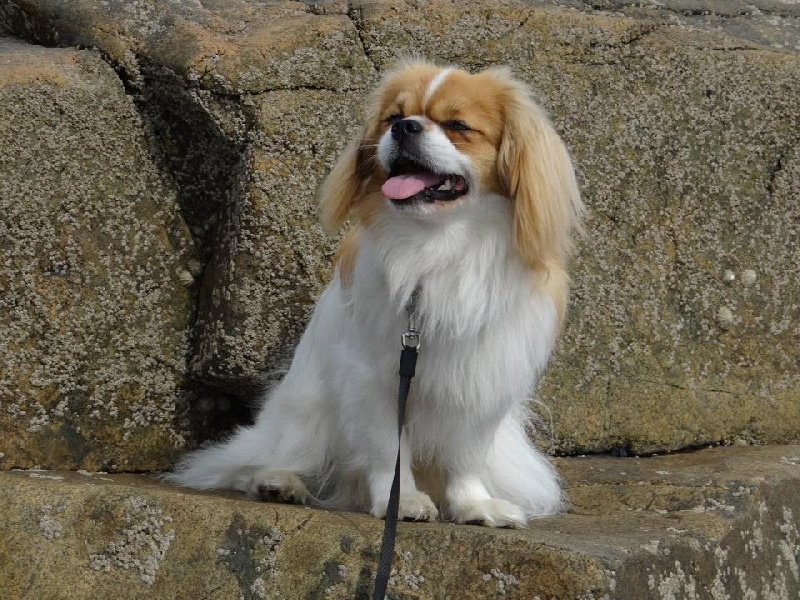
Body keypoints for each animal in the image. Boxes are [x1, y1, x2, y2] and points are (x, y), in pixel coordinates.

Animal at [168, 59, 583, 528]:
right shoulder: (375, 377)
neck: (438, 244)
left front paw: (474, 505)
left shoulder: (481, 378)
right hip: (306, 413)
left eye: (458, 126)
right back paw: (279, 482)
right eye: (392, 117)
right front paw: (400, 500)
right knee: (260, 462)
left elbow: (466, 457)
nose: (405, 127)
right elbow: (388, 452)